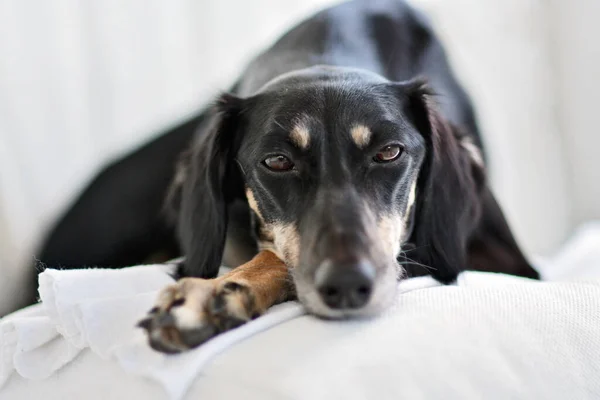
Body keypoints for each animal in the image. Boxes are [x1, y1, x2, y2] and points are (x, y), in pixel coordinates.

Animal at [35, 0, 536, 352]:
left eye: (390, 152)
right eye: (276, 162)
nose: (348, 286)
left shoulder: (504, 260)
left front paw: (216, 295)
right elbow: (275, 255)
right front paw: (217, 291)